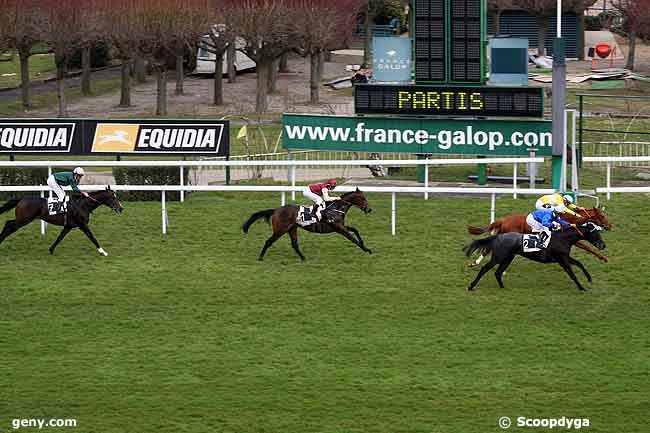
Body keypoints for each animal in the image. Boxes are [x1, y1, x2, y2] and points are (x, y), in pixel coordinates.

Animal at [240, 186, 370, 260]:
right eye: (363, 198)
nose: (369, 209)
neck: (335, 208)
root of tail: (276, 210)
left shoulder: (340, 226)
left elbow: (355, 230)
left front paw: (364, 244)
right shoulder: (338, 228)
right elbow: (352, 238)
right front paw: (366, 249)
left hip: (292, 228)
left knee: (294, 244)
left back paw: (303, 258)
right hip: (280, 230)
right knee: (268, 241)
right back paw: (260, 257)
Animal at [464, 223, 604, 290]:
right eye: (595, 234)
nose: (603, 245)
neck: (563, 238)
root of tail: (498, 236)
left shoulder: (565, 257)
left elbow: (580, 264)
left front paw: (589, 279)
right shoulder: (561, 259)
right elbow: (572, 274)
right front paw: (581, 287)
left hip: (508, 258)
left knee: (498, 273)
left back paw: (503, 287)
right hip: (498, 257)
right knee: (485, 269)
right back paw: (471, 286)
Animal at [466, 205, 608, 264]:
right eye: (601, 216)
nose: (609, 225)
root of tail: (503, 220)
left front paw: (603, 258)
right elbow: (587, 247)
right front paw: (603, 258)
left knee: (487, 248)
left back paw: (475, 262)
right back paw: (476, 263)